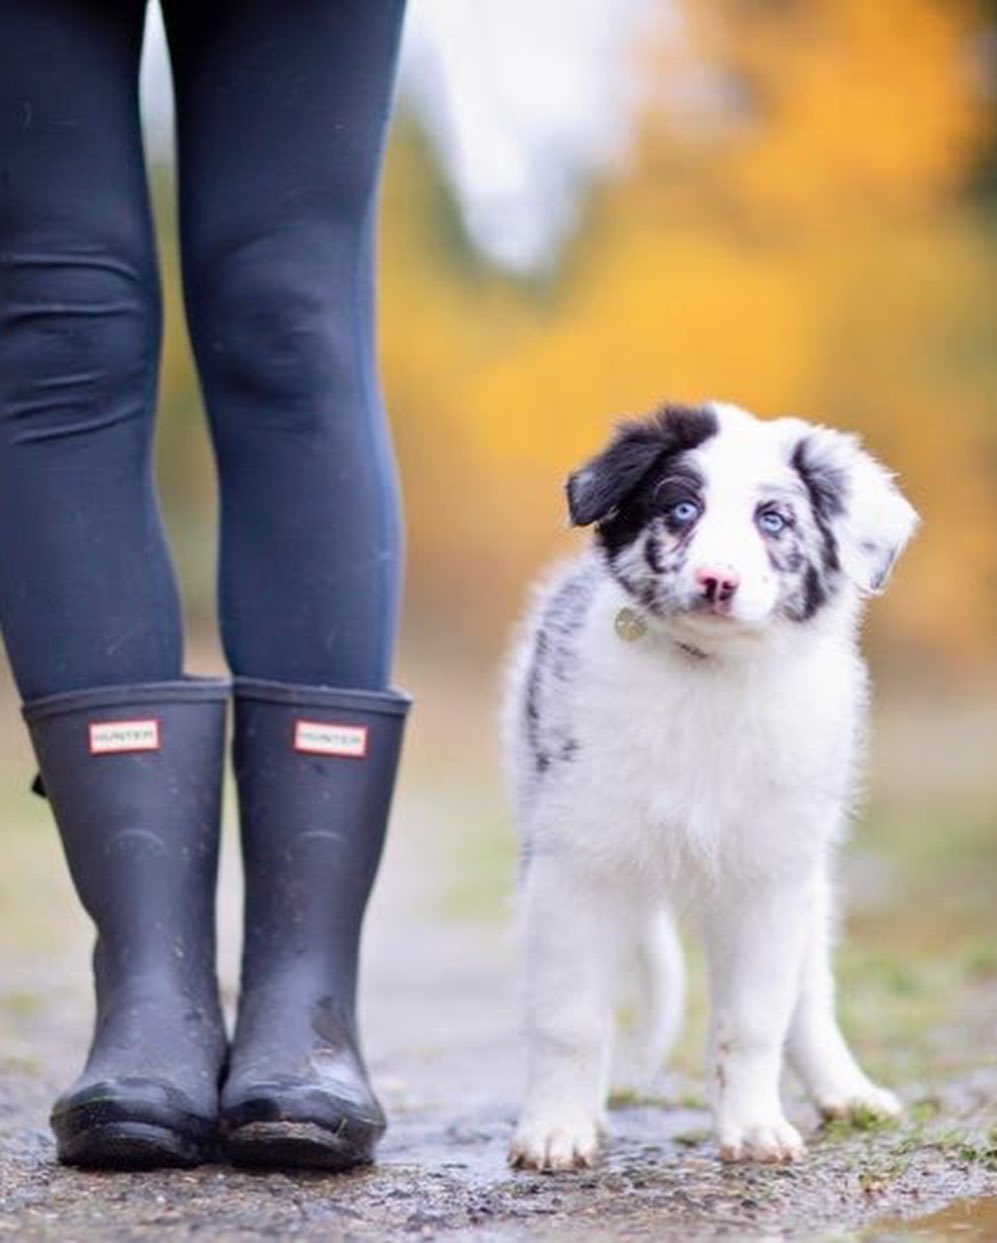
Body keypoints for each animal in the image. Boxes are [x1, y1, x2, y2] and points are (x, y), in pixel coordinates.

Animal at [504, 402, 914, 1168]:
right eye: (682, 508)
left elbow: (753, 1019)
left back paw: (846, 1091)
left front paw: (752, 1126)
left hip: (808, 875)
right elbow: (570, 1018)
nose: (717, 581)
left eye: (774, 520)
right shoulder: (577, 865)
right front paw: (556, 1129)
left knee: (809, 994)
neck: (708, 677)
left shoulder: (768, 877)